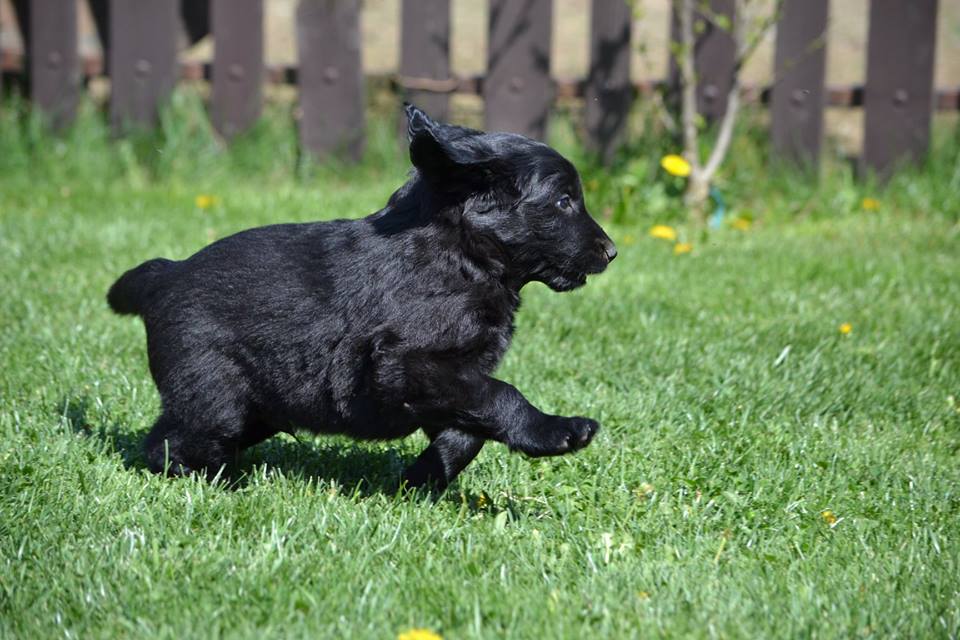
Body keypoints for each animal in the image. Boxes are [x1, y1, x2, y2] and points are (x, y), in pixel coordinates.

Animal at [107, 103, 617, 490]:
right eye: (563, 201)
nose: (611, 251)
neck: (460, 256)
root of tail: (166, 274)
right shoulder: (404, 363)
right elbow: (499, 394)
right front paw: (559, 431)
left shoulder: (445, 381)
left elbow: (468, 427)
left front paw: (421, 479)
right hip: (216, 396)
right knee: (172, 444)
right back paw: (224, 483)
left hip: (254, 407)